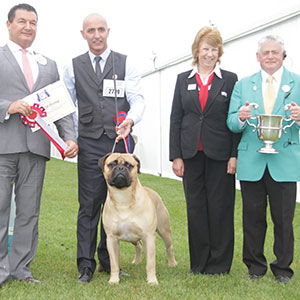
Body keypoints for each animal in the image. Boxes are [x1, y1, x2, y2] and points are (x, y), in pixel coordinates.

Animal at [98, 154, 178, 284]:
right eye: (112, 164)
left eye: (129, 165)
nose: (120, 168)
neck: (122, 198)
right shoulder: (111, 239)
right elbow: (114, 263)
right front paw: (114, 280)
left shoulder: (149, 237)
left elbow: (150, 263)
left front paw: (152, 281)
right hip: (132, 237)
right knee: (138, 245)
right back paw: (136, 261)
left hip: (164, 231)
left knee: (169, 247)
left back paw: (172, 263)